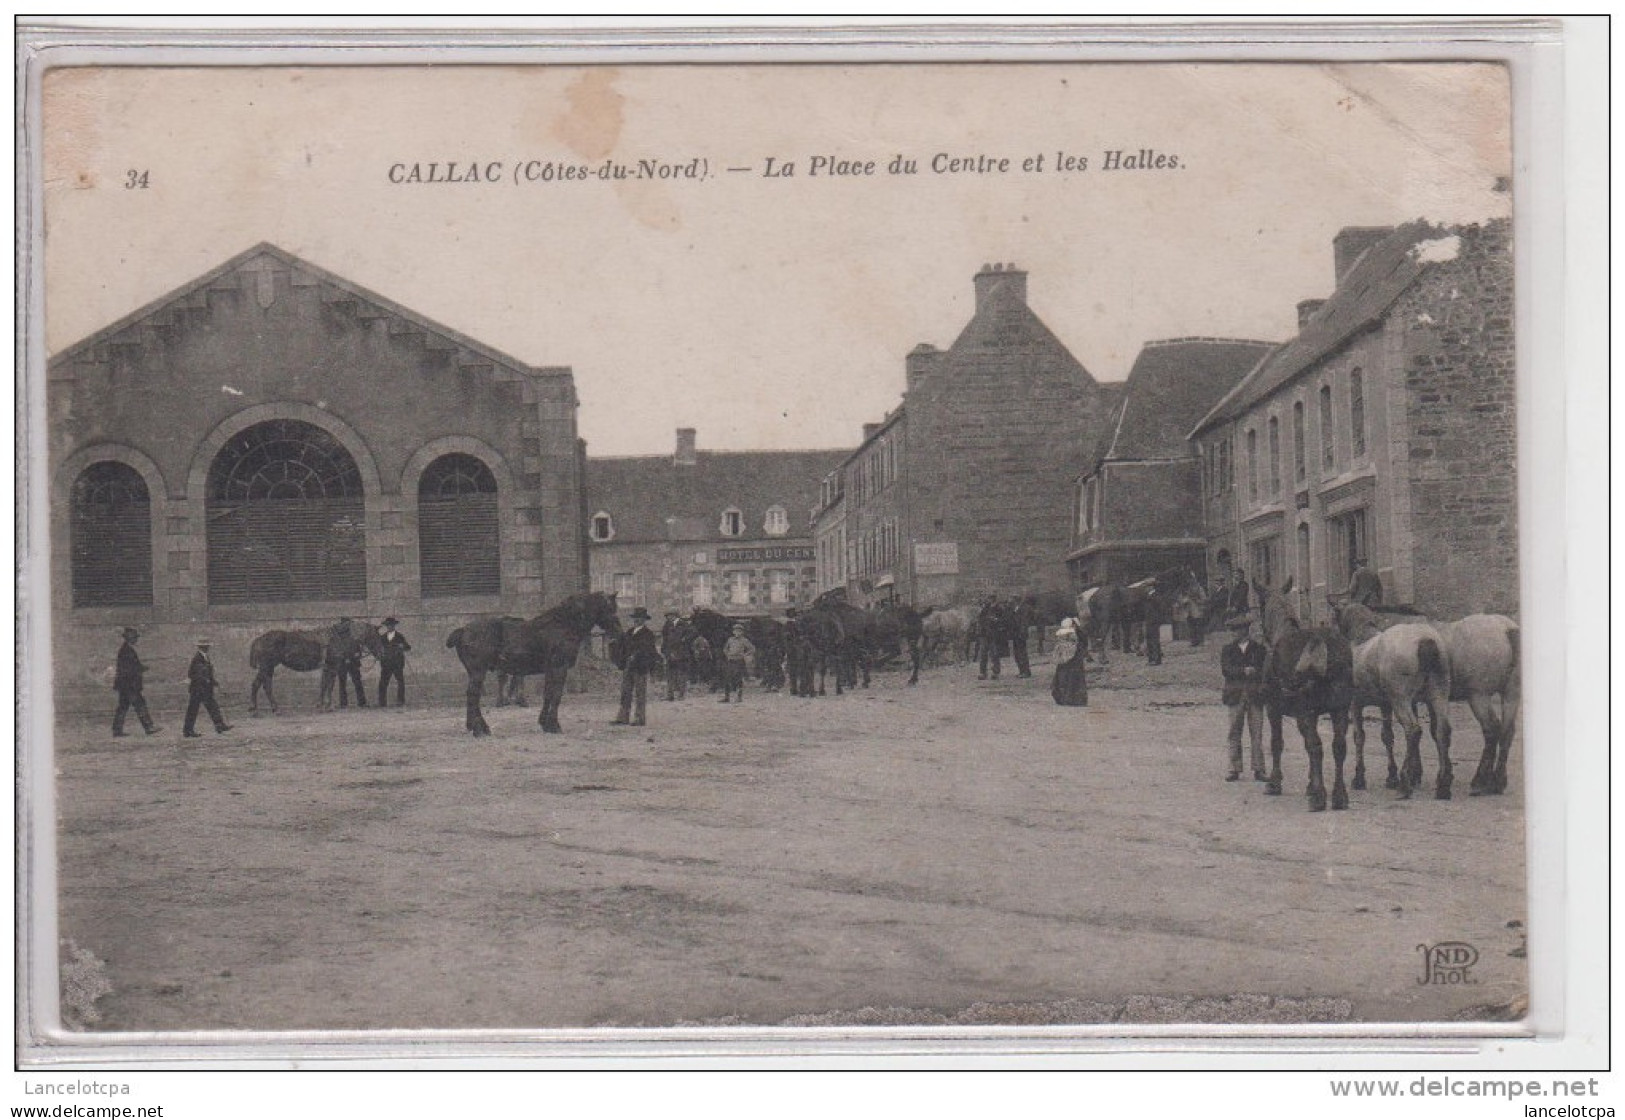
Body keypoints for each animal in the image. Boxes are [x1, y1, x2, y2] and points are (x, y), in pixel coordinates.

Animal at [245, 614, 385, 711]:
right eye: (375, 637)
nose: (381, 653)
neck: (338, 638)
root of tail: (259, 639)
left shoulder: (327, 667)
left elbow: (324, 684)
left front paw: (320, 704)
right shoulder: (333, 667)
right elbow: (330, 685)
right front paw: (328, 705)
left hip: (267, 668)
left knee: (259, 684)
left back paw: (258, 707)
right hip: (267, 667)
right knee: (264, 685)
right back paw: (271, 707)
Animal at [445, 588, 620, 737]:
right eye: (610, 608)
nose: (618, 631)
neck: (563, 624)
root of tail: (463, 630)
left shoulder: (550, 669)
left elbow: (548, 694)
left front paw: (545, 724)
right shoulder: (560, 667)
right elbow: (556, 695)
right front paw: (554, 725)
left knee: (472, 696)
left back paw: (478, 727)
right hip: (478, 672)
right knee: (473, 695)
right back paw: (478, 730)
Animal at [1254, 581, 1358, 809]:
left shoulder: (1273, 707)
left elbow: (1277, 743)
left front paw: (1275, 782)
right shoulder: (1314, 713)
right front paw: (1311, 783)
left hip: (1306, 710)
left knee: (1316, 746)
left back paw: (1319, 798)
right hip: (1340, 708)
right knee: (1339, 746)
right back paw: (1339, 796)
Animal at [1326, 601, 1456, 796]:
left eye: (1334, 616)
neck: (1361, 639)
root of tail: (1426, 641)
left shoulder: (1356, 703)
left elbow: (1359, 736)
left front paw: (1359, 778)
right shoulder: (1385, 705)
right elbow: (1387, 736)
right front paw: (1391, 776)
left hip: (1400, 697)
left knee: (1413, 729)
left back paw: (1405, 781)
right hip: (1439, 691)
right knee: (1442, 730)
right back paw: (1443, 783)